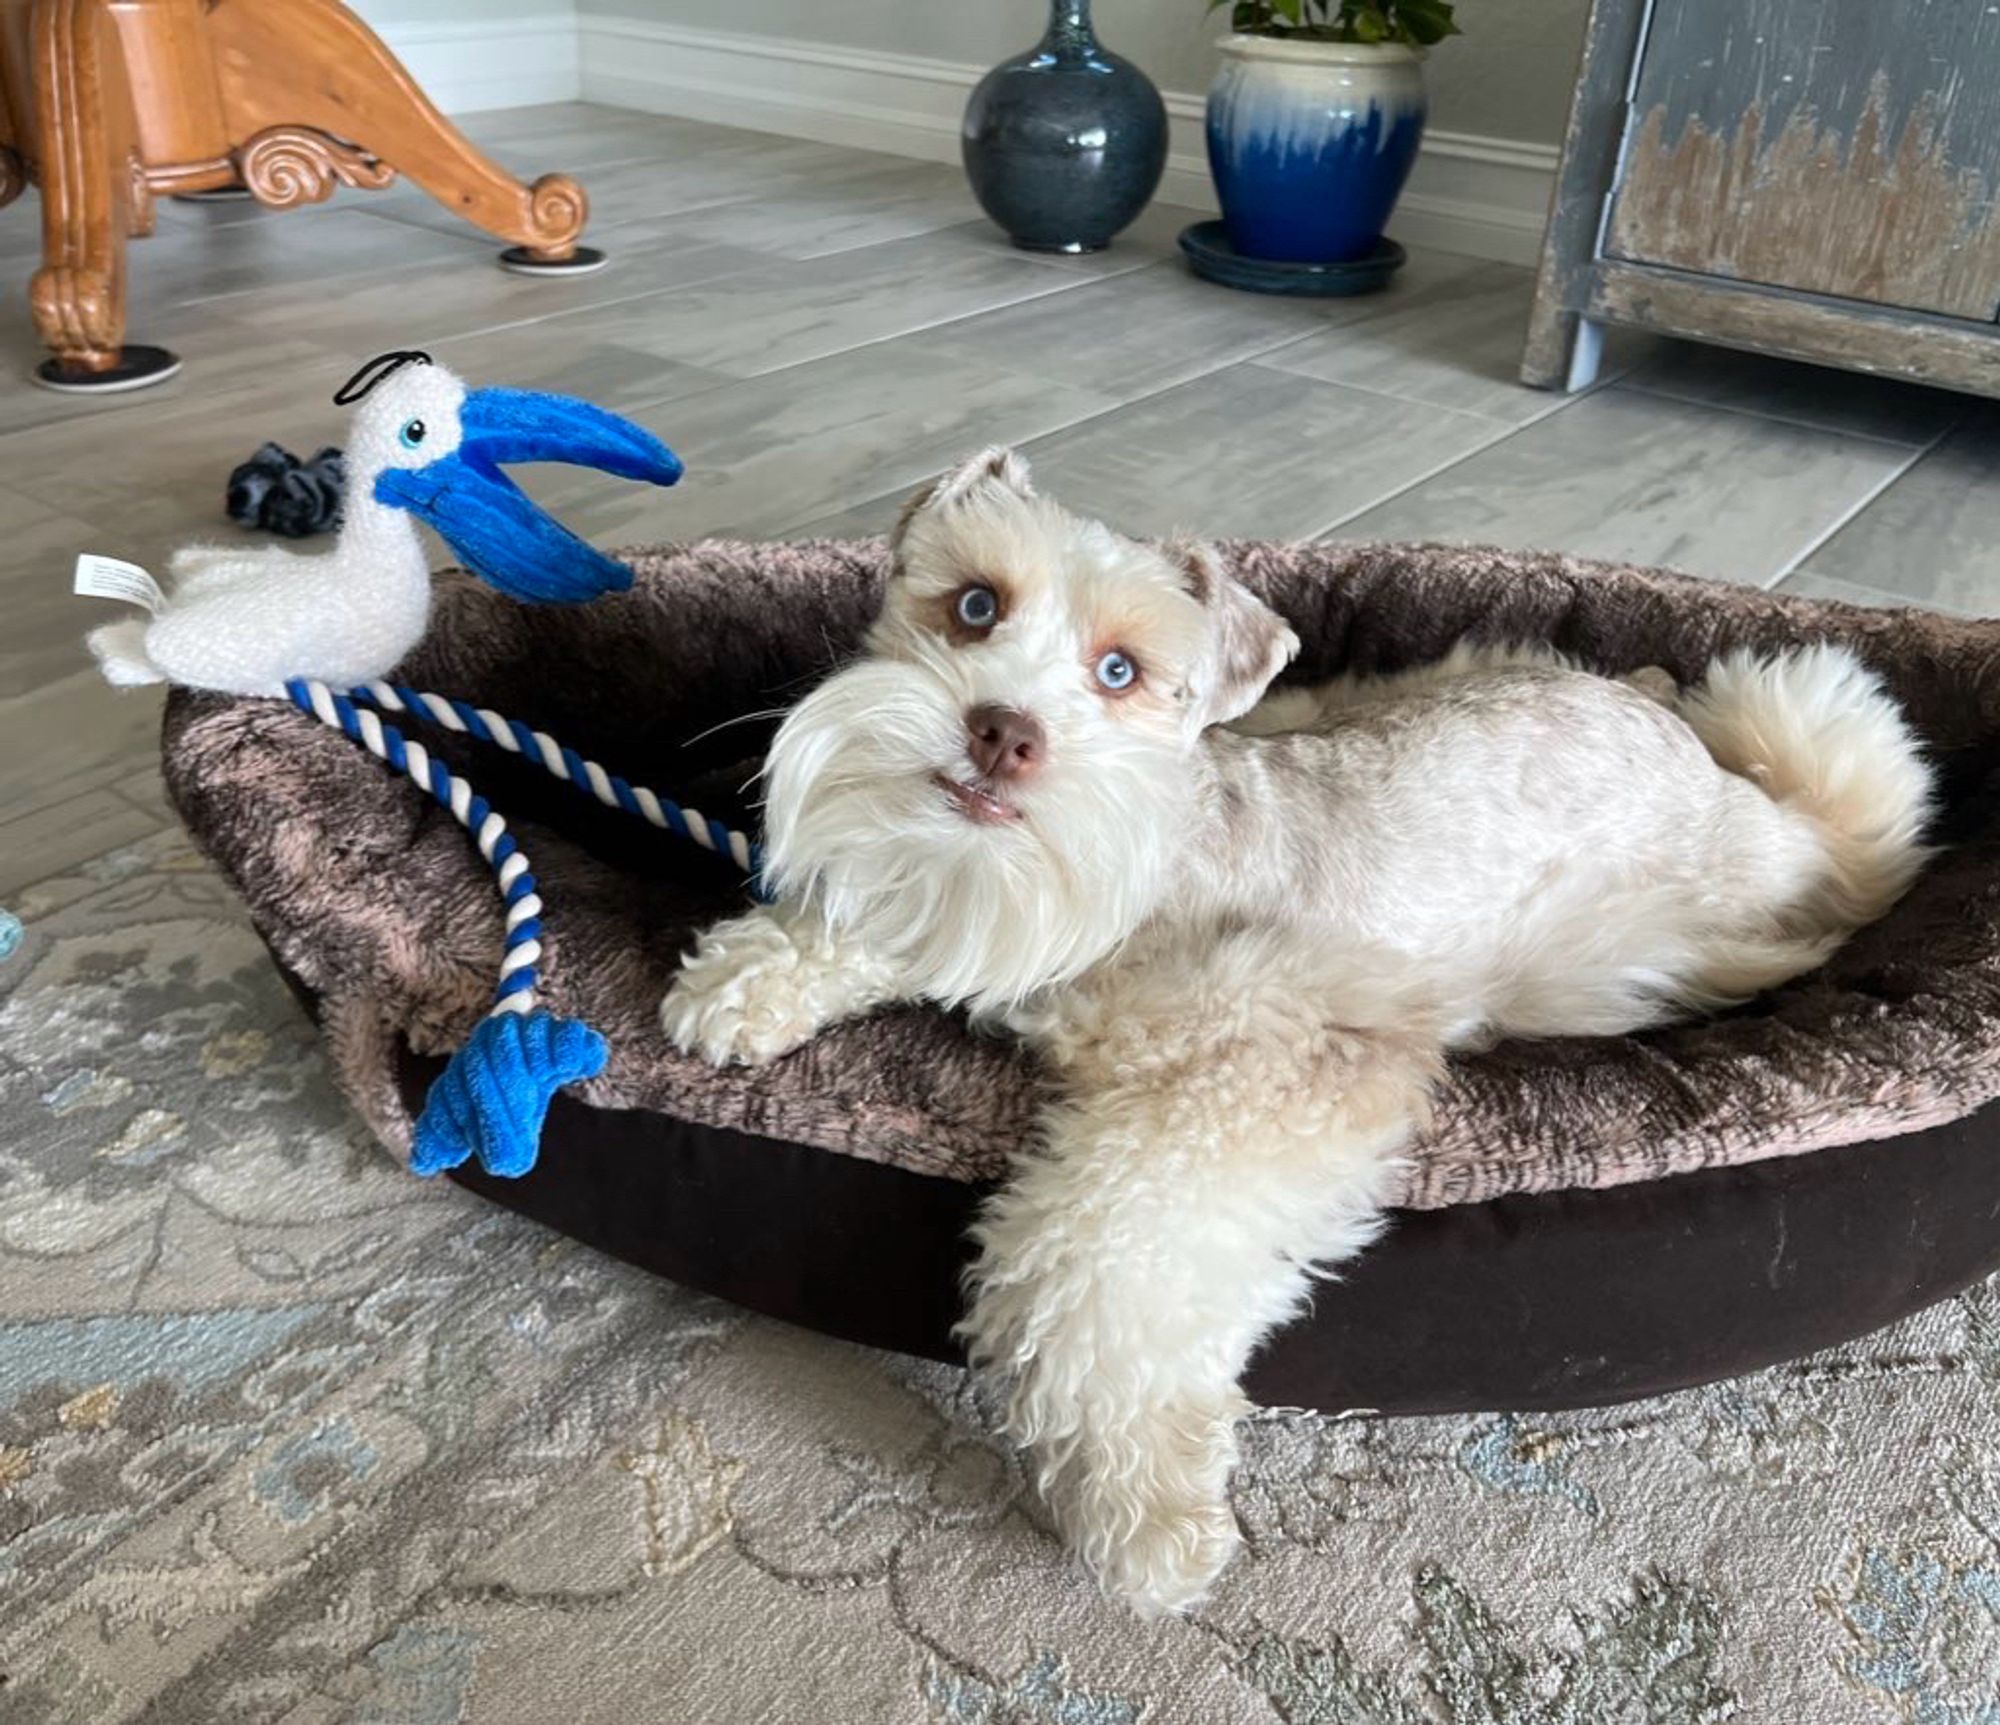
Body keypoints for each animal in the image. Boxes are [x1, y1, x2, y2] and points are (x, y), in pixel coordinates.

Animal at [660, 448, 1936, 1616]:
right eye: (974, 604)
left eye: (1119, 671)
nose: (1001, 734)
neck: (1141, 854)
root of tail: (1762, 804)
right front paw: (746, 980)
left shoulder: (1274, 1062)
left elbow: (1096, 1259)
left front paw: (1142, 1504)